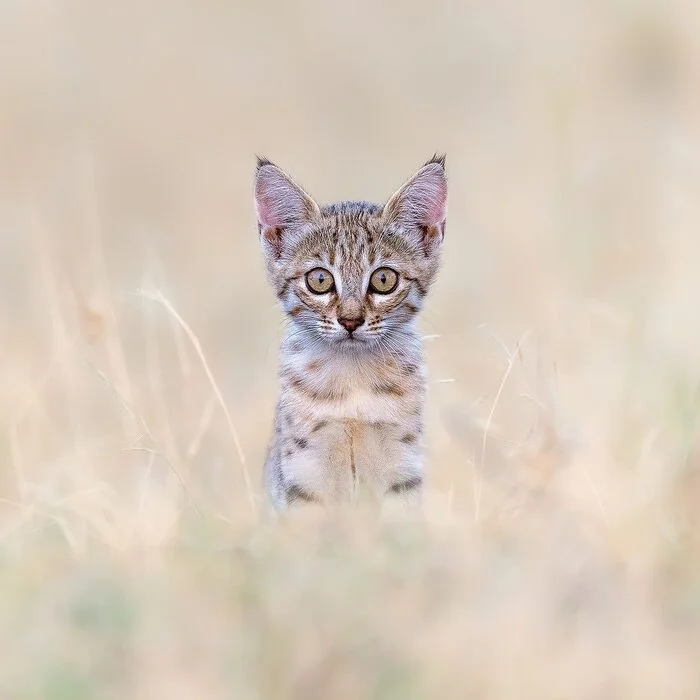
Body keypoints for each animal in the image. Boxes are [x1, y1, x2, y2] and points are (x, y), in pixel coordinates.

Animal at [254, 154, 446, 508]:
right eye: (320, 279)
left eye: (384, 279)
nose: (351, 321)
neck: (353, 375)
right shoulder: (303, 475)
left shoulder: (402, 469)